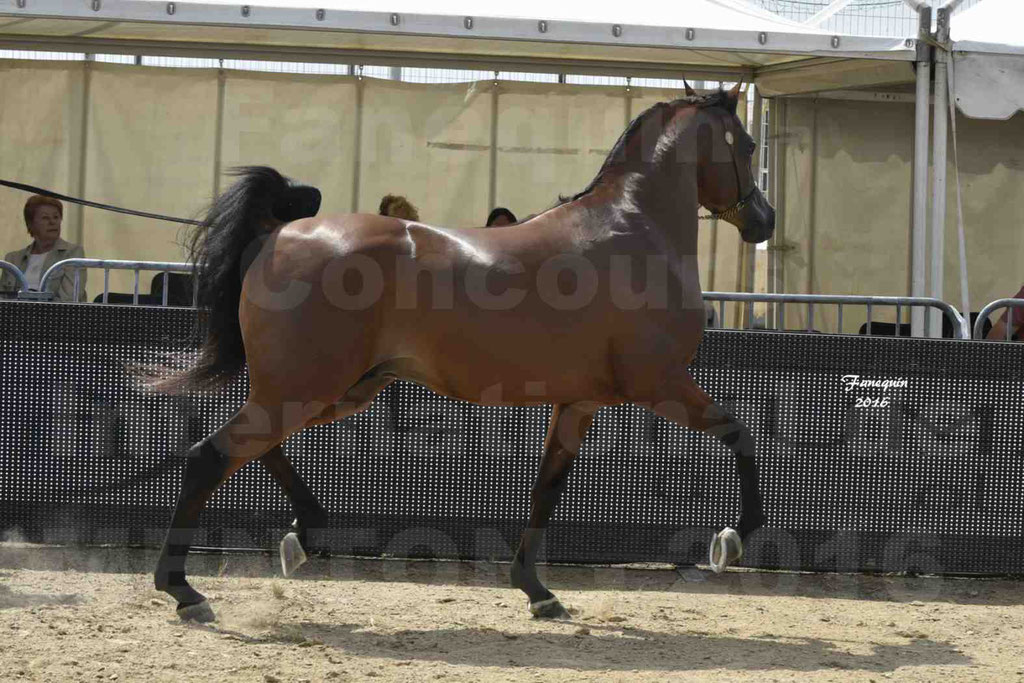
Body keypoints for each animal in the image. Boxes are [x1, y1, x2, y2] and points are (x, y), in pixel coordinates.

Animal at [149, 82, 774, 622]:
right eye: (747, 146)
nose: (763, 220)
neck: (633, 231)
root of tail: (277, 235)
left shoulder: (578, 402)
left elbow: (547, 488)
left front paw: (537, 591)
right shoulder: (659, 382)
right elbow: (741, 434)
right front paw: (732, 540)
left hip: (334, 389)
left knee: (256, 450)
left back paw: (303, 537)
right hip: (304, 388)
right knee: (211, 456)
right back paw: (184, 591)